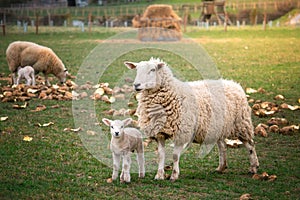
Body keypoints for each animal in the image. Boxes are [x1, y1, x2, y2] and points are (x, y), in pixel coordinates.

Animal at [125, 57, 260, 181]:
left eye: (152, 70)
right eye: (136, 69)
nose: (136, 85)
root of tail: (234, 83)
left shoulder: (182, 132)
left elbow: (175, 156)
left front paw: (174, 175)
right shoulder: (160, 133)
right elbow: (161, 156)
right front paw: (159, 175)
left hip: (241, 124)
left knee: (250, 145)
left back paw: (254, 167)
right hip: (218, 126)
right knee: (222, 146)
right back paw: (221, 167)